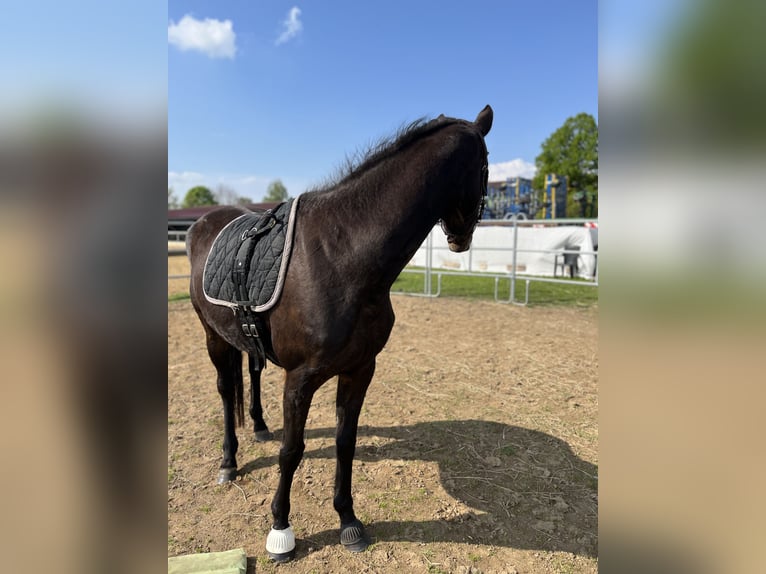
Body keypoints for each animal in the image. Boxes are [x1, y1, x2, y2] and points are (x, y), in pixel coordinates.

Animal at [186, 105, 493, 561]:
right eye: (487, 167)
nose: (462, 238)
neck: (344, 256)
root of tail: (202, 223)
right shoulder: (300, 380)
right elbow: (292, 451)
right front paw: (281, 530)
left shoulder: (360, 370)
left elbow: (345, 442)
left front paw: (348, 520)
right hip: (213, 336)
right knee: (226, 391)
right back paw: (228, 462)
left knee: (252, 374)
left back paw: (259, 426)